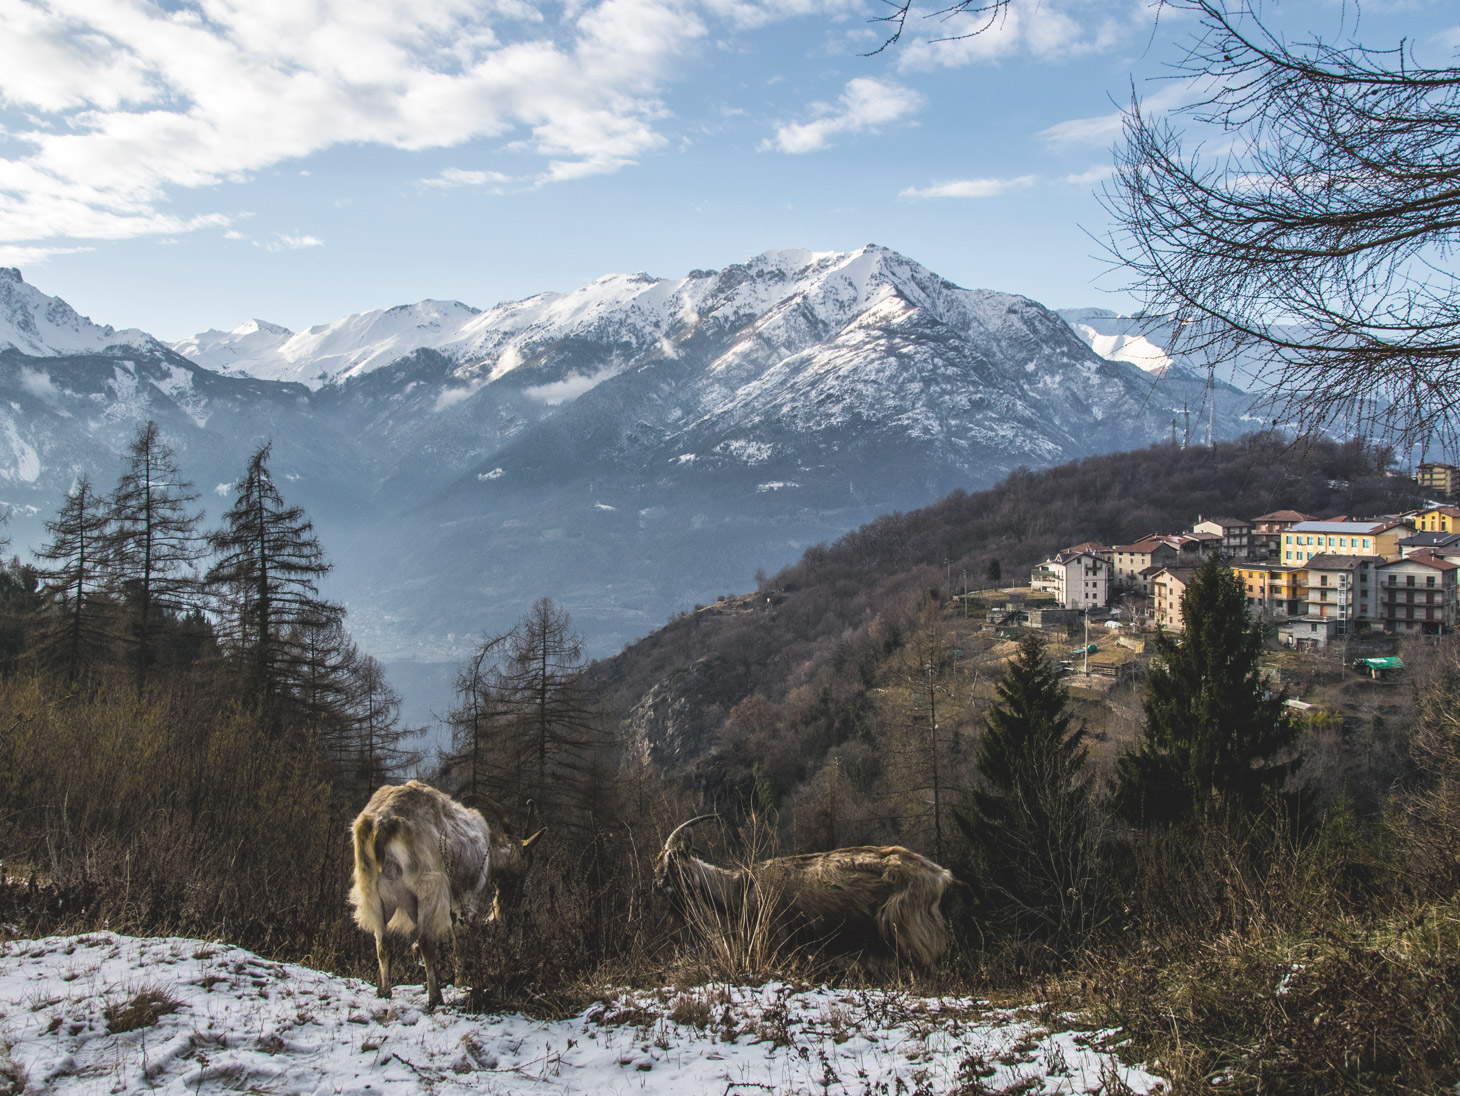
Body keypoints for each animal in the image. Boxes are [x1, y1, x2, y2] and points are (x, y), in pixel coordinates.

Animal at [349, 780, 542, 1009]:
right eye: (524, 867)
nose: (510, 907)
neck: (488, 847)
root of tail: (383, 824)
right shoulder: (467, 896)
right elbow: (460, 939)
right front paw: (462, 983)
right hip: (430, 887)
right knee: (426, 941)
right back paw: (435, 997)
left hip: (370, 892)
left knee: (382, 944)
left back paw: (385, 992)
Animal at [653, 816, 957, 969]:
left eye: (672, 863)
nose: (657, 885)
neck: (741, 887)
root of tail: (939, 875)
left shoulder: (776, 937)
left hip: (906, 926)